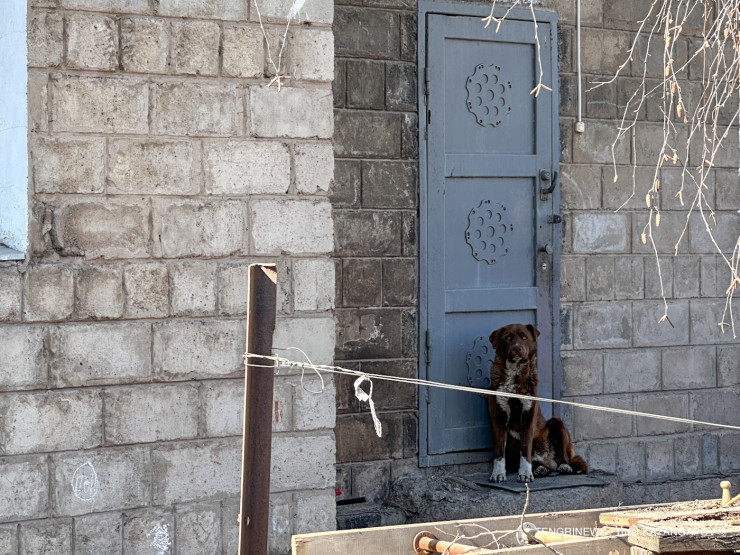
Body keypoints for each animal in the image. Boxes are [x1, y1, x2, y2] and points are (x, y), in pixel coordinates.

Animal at [488, 323, 587, 482]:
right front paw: (498, 473)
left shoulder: (528, 417)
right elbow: (499, 451)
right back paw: (540, 469)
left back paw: (564, 466)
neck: (515, 376)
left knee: (564, 457)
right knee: (541, 465)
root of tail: (547, 459)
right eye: (508, 338)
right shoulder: (499, 418)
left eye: (524, 337)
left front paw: (525, 474)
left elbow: (526, 448)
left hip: (556, 423)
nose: (517, 349)